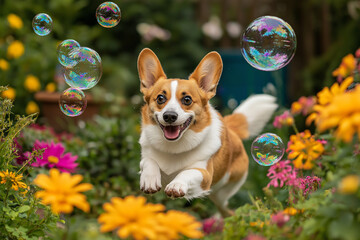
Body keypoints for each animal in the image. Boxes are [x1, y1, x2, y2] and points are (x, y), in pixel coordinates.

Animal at [137, 48, 276, 218]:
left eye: (187, 100)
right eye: (160, 98)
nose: (169, 116)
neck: (174, 147)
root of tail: (230, 129)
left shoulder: (204, 174)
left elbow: (187, 173)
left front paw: (176, 184)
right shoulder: (145, 158)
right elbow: (149, 161)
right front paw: (149, 180)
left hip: (220, 194)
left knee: (227, 210)